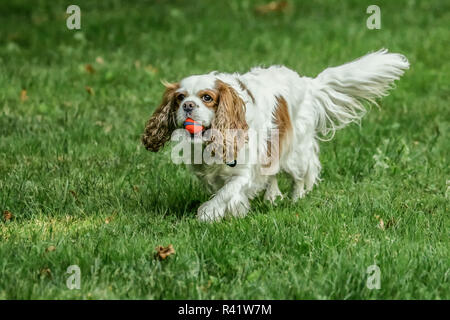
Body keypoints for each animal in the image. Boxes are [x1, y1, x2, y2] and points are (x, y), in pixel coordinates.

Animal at [142, 48, 410, 221]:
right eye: (179, 97)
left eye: (207, 97)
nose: (188, 105)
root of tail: (307, 83)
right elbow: (224, 191)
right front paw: (236, 210)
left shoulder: (243, 172)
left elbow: (225, 194)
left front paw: (208, 214)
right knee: (272, 175)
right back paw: (272, 197)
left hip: (296, 154)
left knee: (302, 175)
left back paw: (296, 198)